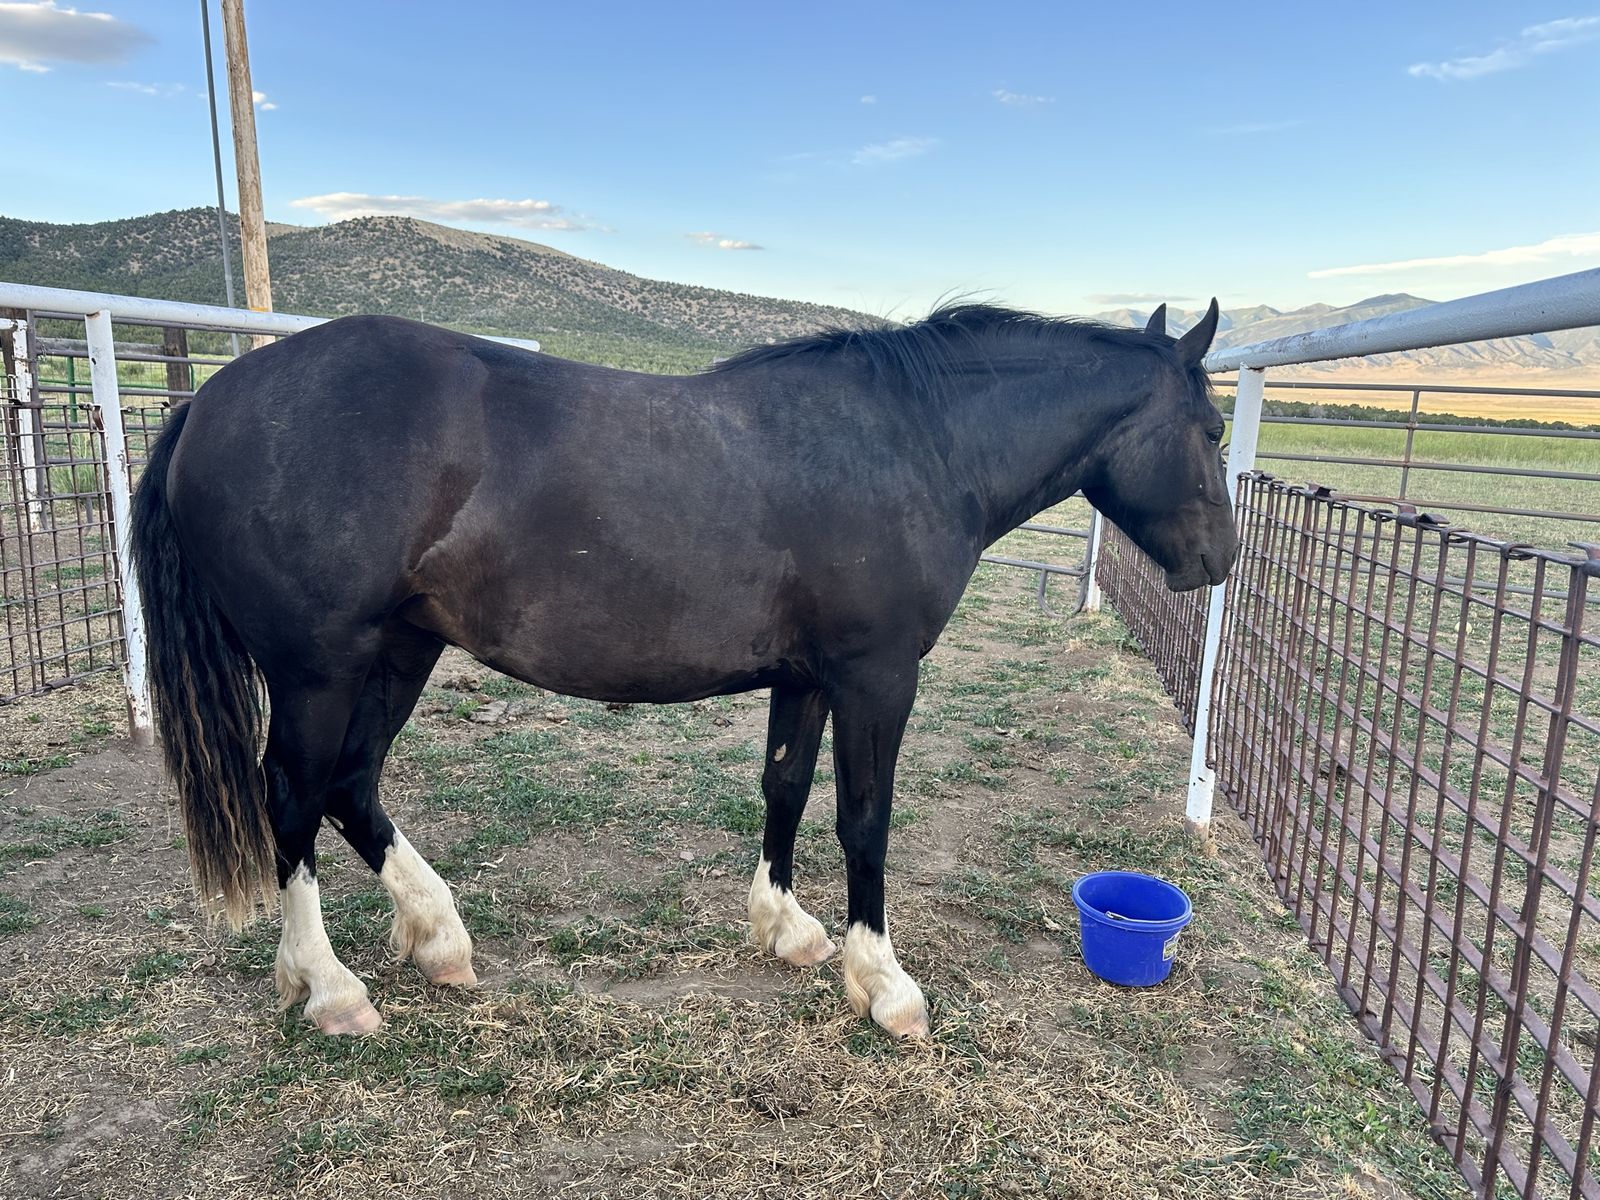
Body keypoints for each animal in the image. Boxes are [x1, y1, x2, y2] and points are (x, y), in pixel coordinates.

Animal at [130, 298, 1234, 1038]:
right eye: (1214, 428)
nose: (1218, 561)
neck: (914, 444)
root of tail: (214, 398)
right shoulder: (876, 675)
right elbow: (864, 820)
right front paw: (883, 983)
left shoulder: (807, 676)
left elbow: (785, 787)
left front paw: (787, 929)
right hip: (319, 668)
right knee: (293, 795)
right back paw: (329, 987)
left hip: (400, 647)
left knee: (351, 786)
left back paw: (438, 937)